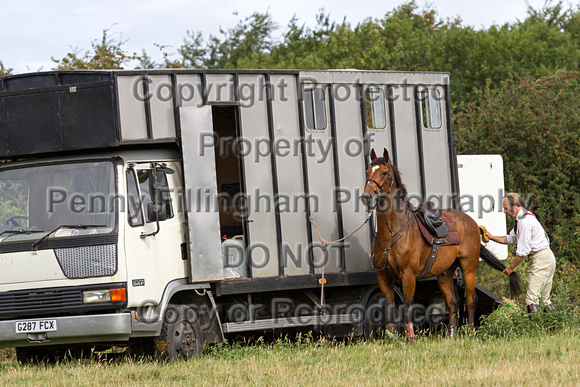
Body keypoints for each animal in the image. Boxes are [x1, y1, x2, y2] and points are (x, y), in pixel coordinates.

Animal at [360, 149, 524, 342]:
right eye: (367, 172)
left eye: (384, 173)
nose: (366, 196)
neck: (393, 234)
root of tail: (472, 223)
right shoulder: (384, 277)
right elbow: (390, 307)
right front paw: (391, 337)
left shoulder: (408, 276)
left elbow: (407, 304)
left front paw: (410, 338)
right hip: (444, 273)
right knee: (453, 302)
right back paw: (452, 335)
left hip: (468, 268)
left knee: (470, 299)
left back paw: (471, 332)